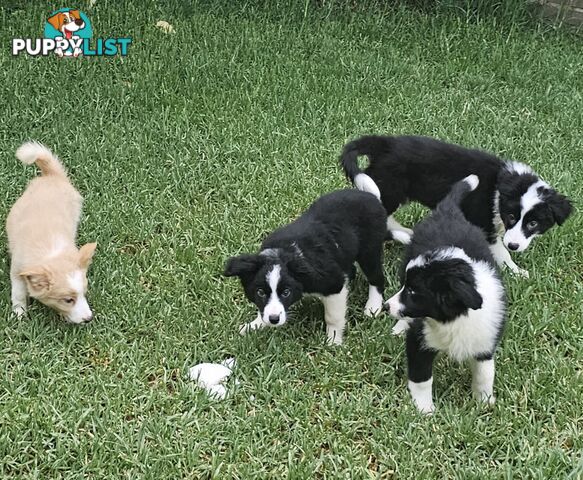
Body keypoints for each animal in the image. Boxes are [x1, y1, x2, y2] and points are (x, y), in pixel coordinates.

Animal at [6, 141, 97, 324]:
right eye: (68, 300)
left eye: (84, 293)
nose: (89, 319)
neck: (50, 252)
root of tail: (52, 175)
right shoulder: (17, 268)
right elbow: (18, 292)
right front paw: (19, 313)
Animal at [340, 135, 572, 278]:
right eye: (512, 217)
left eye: (533, 224)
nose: (514, 246)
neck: (503, 185)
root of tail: (384, 143)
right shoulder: (484, 223)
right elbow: (500, 252)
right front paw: (516, 271)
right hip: (388, 187)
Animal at [384, 174, 506, 414]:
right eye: (408, 288)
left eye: (413, 291)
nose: (386, 306)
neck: (451, 320)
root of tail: (448, 211)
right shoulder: (420, 339)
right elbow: (422, 378)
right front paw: (425, 410)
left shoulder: (485, 340)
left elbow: (485, 373)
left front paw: (484, 402)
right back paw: (399, 327)